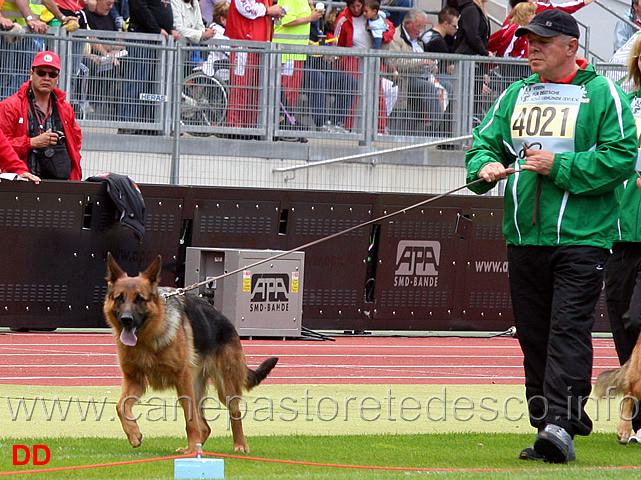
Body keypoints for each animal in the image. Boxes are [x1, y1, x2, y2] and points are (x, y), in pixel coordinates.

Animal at [103, 255, 278, 454]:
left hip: (223, 388)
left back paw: (238, 445)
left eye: (140, 299)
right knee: (205, 426)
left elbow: (190, 418)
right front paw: (134, 434)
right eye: (119, 298)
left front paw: (193, 447)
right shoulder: (135, 380)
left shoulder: (182, 378)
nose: (126, 319)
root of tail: (226, 321)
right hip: (196, 386)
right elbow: (120, 406)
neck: (147, 340)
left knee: (233, 413)